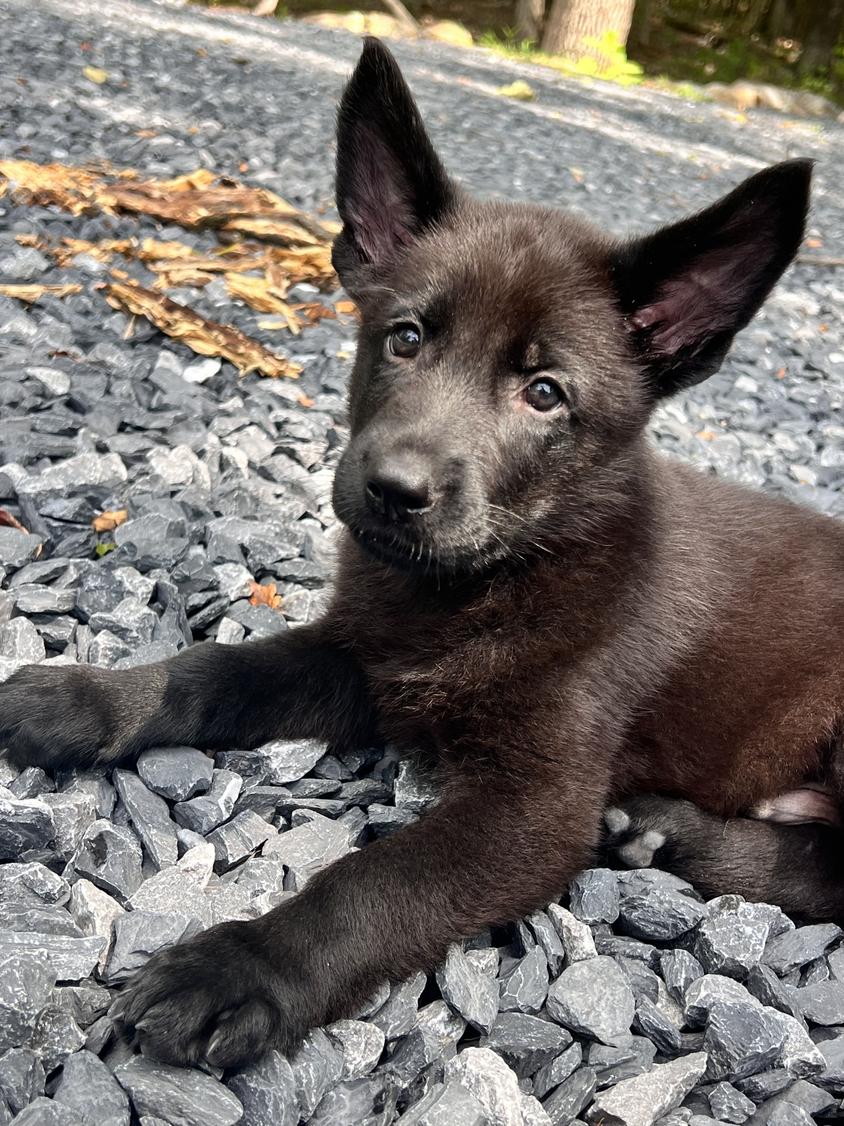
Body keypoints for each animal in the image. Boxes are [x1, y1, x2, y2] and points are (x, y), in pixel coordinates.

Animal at [1, 39, 844, 1067]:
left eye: (545, 393)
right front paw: (86, 700)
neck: (483, 581)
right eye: (405, 338)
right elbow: (212, 672)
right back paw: (659, 830)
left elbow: (377, 882)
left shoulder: (533, 807)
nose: (394, 491)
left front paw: (238, 967)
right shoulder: (361, 658)